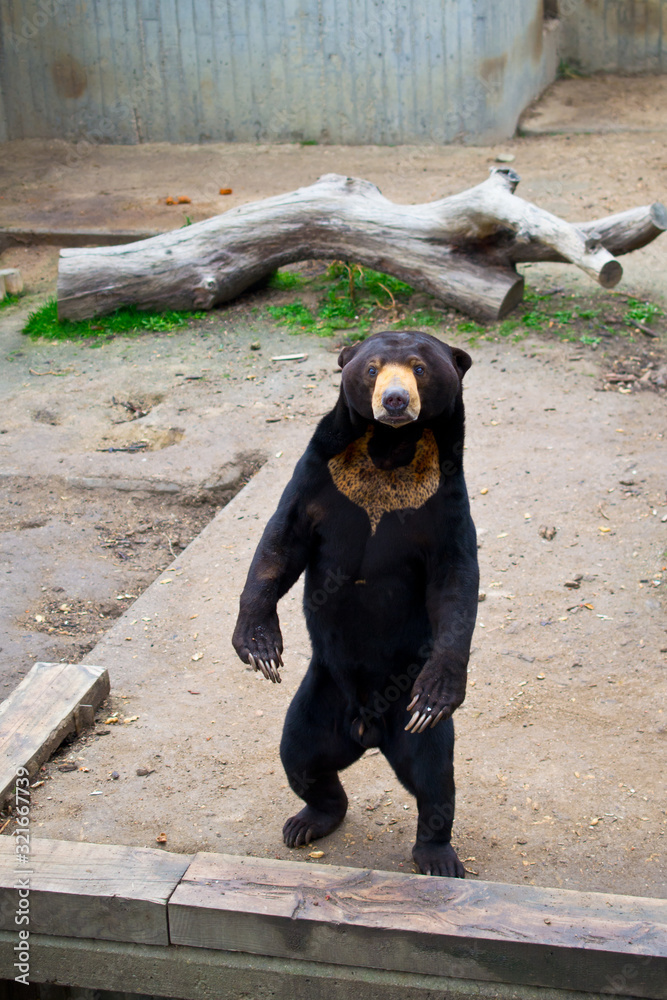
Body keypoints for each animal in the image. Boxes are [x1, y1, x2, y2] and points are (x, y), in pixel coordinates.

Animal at [234, 330, 480, 876]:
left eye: (419, 368)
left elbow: (455, 582)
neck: (389, 449)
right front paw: (260, 647)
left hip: (407, 716)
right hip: (320, 695)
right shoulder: (319, 477)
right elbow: (280, 544)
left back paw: (437, 856)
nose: (395, 401)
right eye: (372, 369)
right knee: (301, 756)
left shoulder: (442, 500)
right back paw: (307, 822)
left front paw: (440, 689)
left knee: (434, 779)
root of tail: (367, 731)